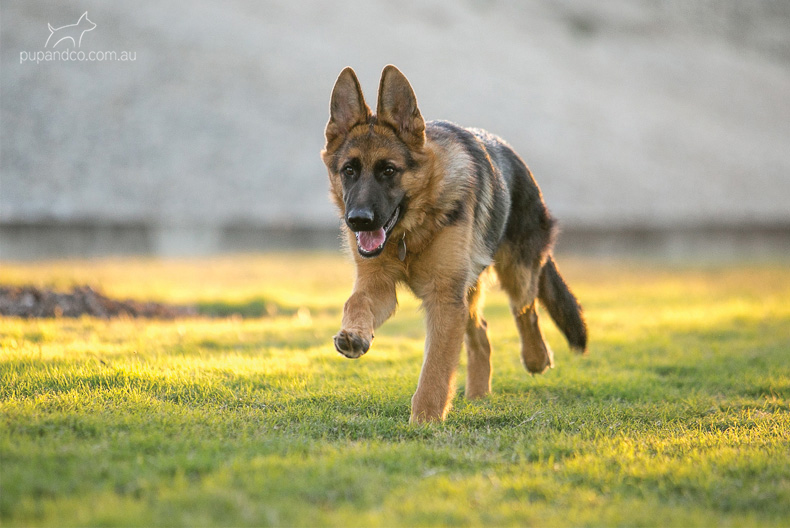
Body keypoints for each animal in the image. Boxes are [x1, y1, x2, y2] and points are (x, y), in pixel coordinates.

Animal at [322, 65, 588, 424]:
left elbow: (436, 366)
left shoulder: (444, 299)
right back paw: (478, 395)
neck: (411, 232)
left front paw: (424, 420)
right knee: (483, 333)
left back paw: (536, 357)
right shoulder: (379, 285)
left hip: (514, 273)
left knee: (526, 310)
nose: (359, 220)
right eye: (349, 170)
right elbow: (355, 302)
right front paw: (355, 335)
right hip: (468, 292)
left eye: (388, 170)